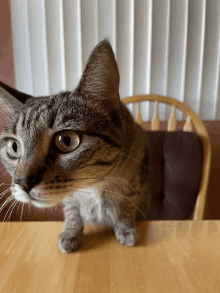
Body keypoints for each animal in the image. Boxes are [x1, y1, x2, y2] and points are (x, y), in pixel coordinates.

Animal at [0, 38, 151, 252]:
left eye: (66, 140)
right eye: (14, 147)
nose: (22, 182)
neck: (93, 186)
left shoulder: (138, 175)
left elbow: (127, 206)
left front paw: (125, 228)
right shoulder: (71, 200)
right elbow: (72, 212)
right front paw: (71, 233)